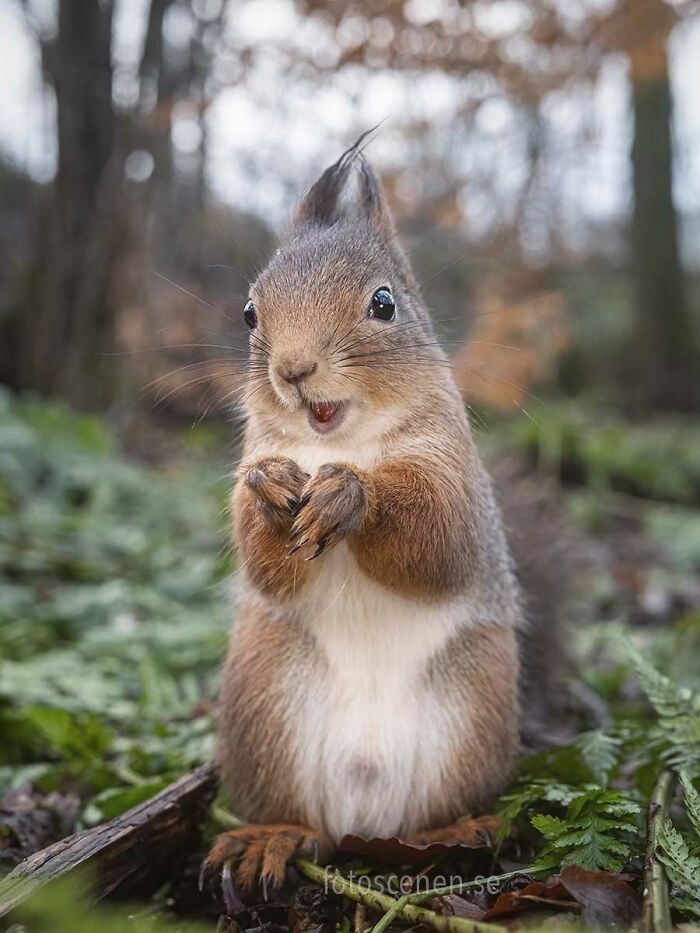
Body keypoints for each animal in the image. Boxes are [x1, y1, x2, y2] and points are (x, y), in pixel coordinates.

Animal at [202, 139, 568, 893]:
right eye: (249, 312)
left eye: (383, 303)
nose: (294, 369)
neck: (340, 442)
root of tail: (364, 823)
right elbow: (264, 560)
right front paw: (269, 488)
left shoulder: (456, 477)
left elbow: (439, 541)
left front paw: (352, 496)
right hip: (264, 699)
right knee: (299, 817)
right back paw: (273, 837)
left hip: (474, 707)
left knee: (438, 809)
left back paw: (456, 830)